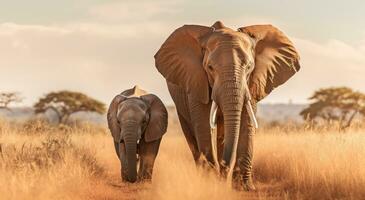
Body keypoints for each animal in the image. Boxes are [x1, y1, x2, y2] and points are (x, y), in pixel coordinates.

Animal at [154, 20, 298, 191]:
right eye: (210, 68)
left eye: (249, 67)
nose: (223, 174)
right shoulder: (196, 81)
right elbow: (204, 125)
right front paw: (210, 183)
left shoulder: (252, 83)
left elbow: (246, 123)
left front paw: (244, 188)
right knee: (190, 133)